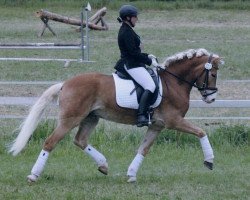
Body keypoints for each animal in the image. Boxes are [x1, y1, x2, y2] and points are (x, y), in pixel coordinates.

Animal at [7, 48, 224, 183]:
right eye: (213, 74)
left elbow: (143, 149)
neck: (173, 83)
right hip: (71, 119)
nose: (211, 98)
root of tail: (65, 83)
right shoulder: (174, 121)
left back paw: (103, 165)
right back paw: (33, 176)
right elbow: (201, 132)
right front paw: (210, 161)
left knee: (80, 140)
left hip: (91, 118)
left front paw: (131, 175)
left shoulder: (157, 125)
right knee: (50, 142)